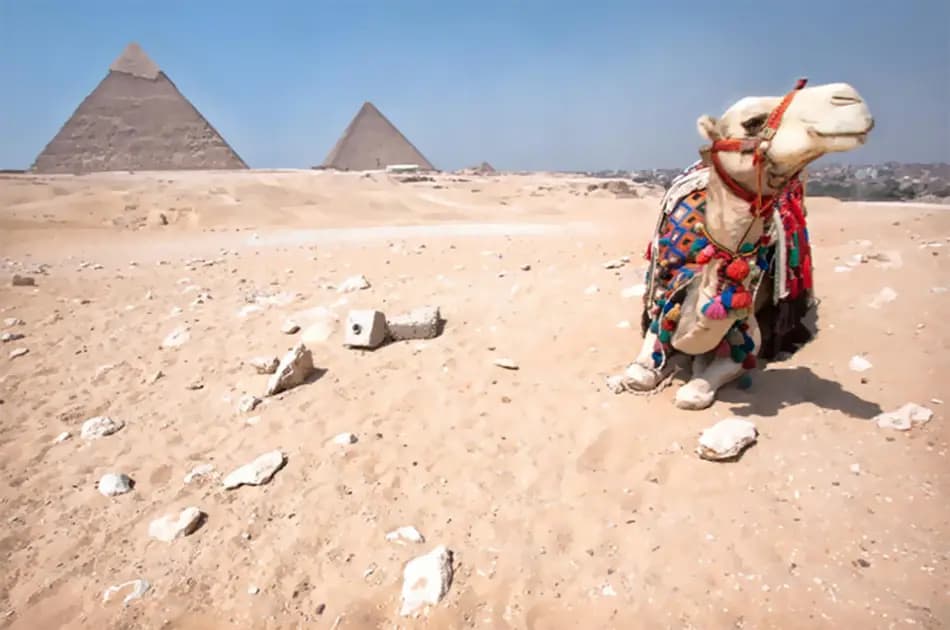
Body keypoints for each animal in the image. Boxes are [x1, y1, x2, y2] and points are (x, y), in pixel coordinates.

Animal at [623, 79, 874, 409]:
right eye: (753, 122)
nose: (848, 96)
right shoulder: (661, 300)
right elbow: (639, 372)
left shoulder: (747, 331)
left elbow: (697, 389)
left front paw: (699, 370)